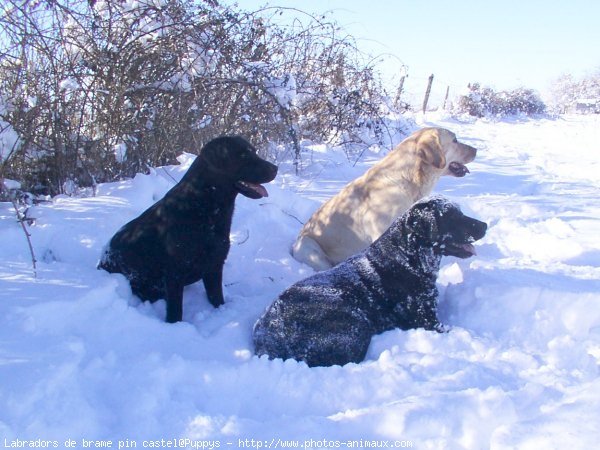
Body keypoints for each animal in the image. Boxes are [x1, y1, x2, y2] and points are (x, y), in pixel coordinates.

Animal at [99, 135, 278, 322]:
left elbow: (217, 299)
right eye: (243, 155)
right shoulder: (174, 274)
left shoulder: (214, 265)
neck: (205, 209)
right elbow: (175, 312)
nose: (275, 169)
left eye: (254, 151)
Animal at [253, 199, 488, 368]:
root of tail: (266, 335)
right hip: (355, 323)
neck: (407, 257)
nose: (484, 225)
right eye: (453, 217)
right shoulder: (428, 321)